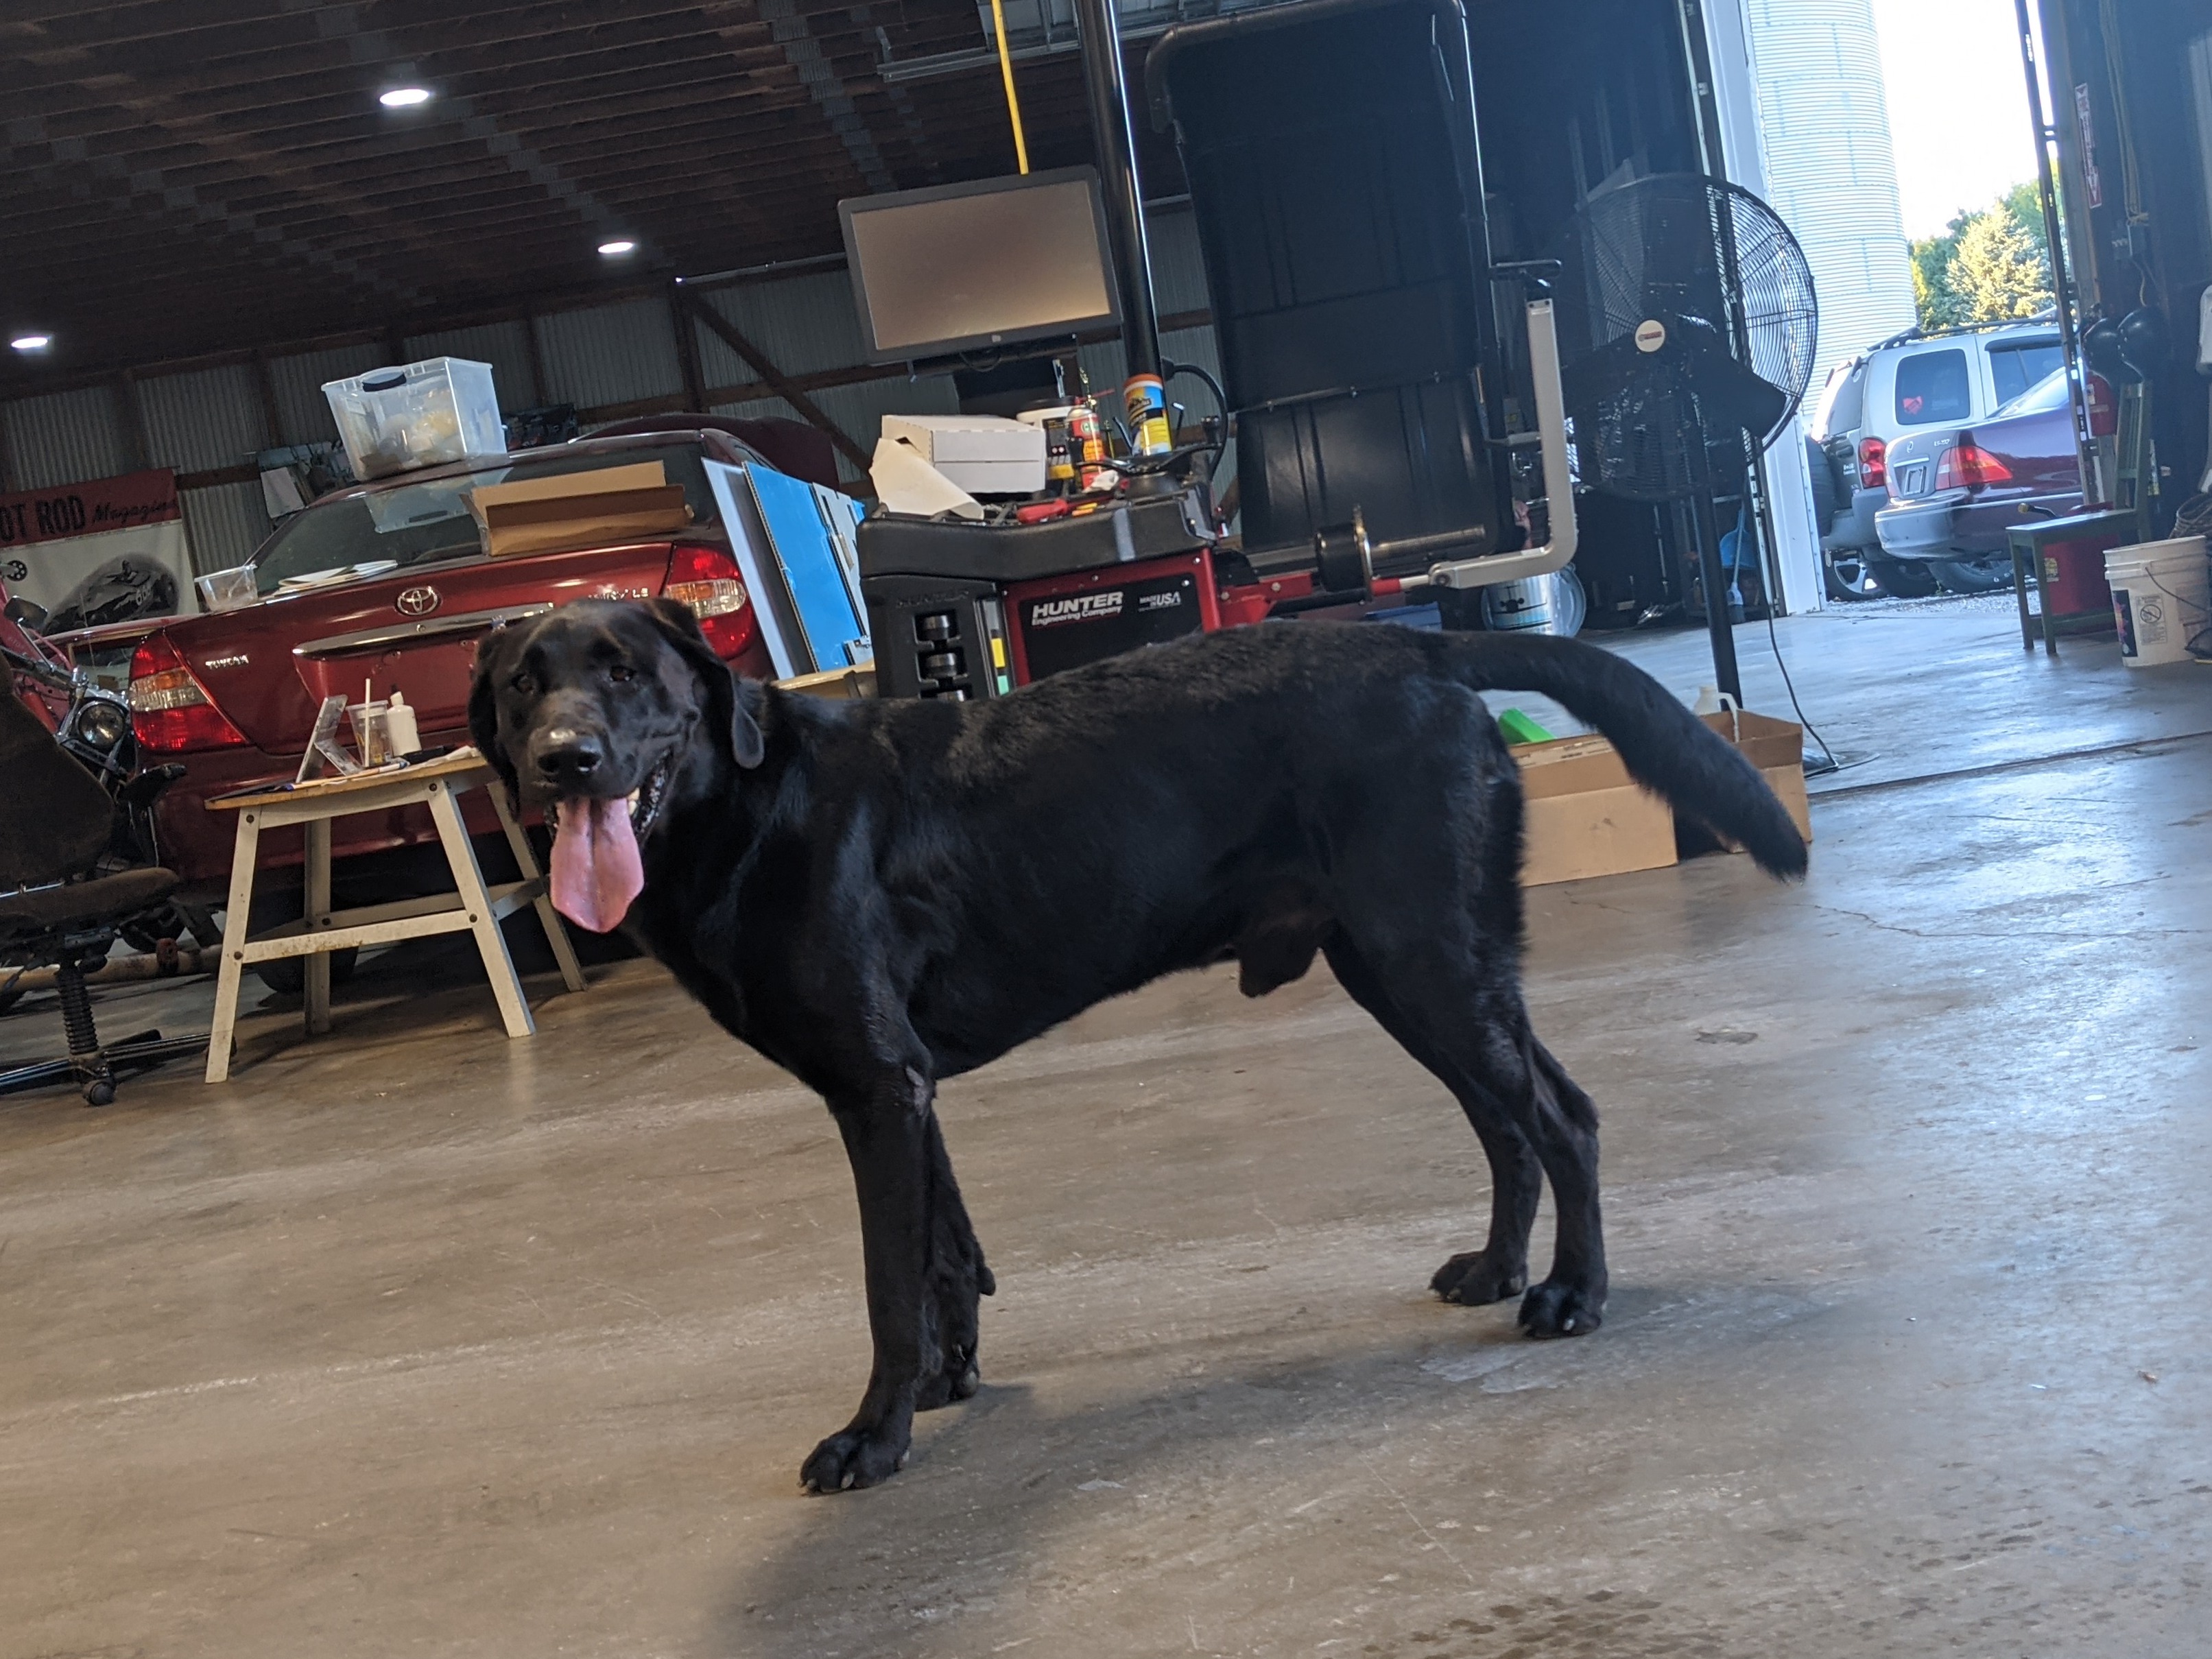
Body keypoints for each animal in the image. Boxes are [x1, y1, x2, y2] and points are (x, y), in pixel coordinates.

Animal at [470, 599, 1805, 1492]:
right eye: (523, 687)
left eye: (626, 672)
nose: (564, 758)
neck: (747, 806)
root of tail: (1423, 646)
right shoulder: (905, 1087)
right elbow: (946, 1251)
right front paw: (952, 1382)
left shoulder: (875, 1086)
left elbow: (887, 1284)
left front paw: (877, 1435)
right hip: (1399, 969)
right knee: (1506, 1120)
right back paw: (1497, 1266)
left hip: (1427, 957)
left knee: (1560, 1113)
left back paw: (1573, 1292)